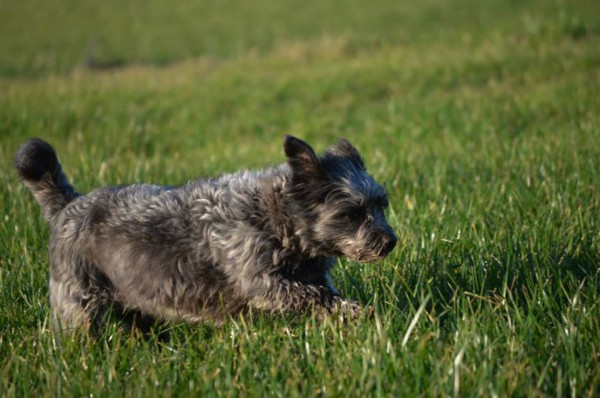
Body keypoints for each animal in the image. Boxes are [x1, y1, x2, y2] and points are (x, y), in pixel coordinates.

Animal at [14, 135, 396, 334]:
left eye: (381, 204)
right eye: (351, 214)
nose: (391, 241)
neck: (275, 218)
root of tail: (68, 204)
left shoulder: (311, 275)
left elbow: (325, 293)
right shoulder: (262, 281)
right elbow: (313, 296)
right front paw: (356, 312)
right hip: (78, 304)